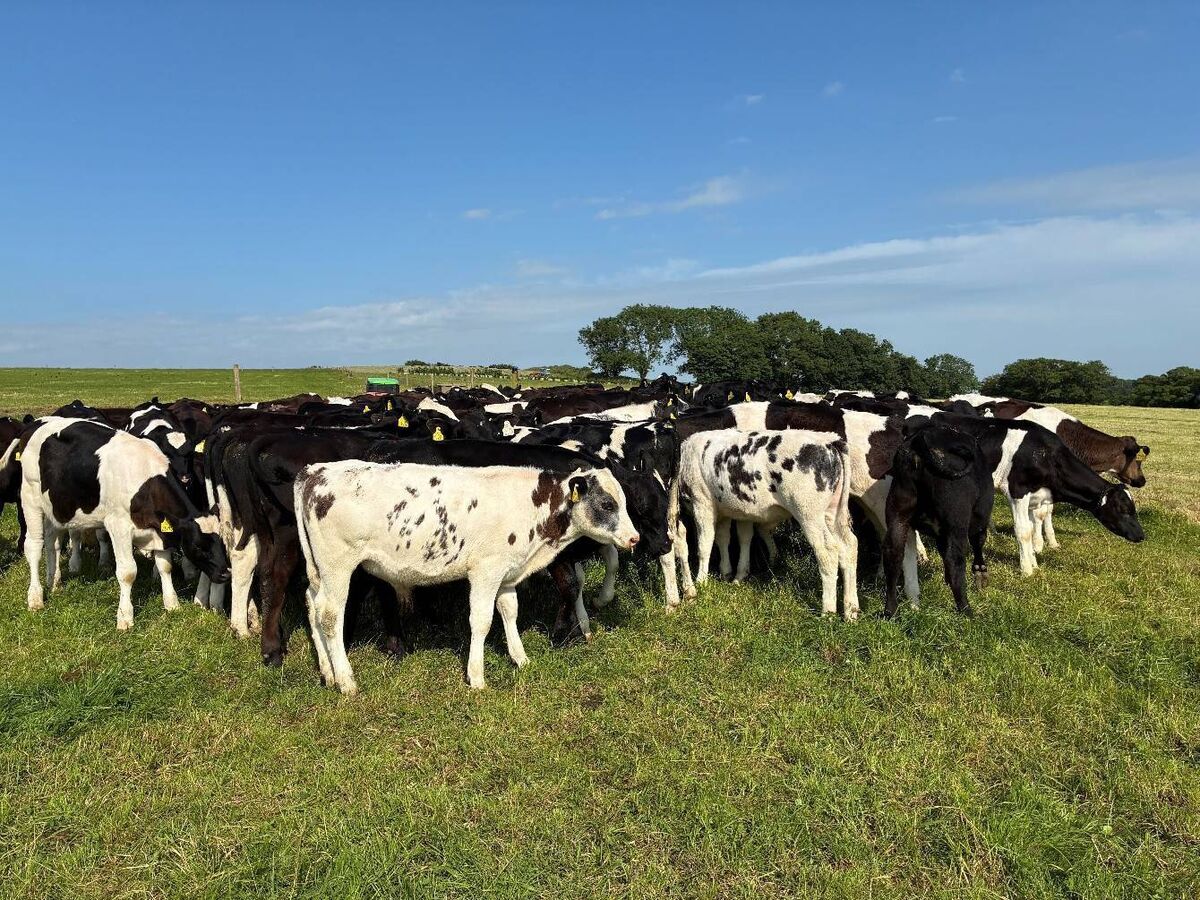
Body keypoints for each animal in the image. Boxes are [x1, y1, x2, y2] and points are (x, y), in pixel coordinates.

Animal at [17, 418, 230, 629]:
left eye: (223, 544)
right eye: (198, 546)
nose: (226, 573)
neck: (145, 481)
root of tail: (38, 422)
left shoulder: (158, 531)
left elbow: (165, 566)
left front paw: (172, 604)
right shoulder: (118, 526)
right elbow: (128, 572)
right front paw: (125, 618)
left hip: (55, 506)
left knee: (51, 543)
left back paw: (54, 582)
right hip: (30, 497)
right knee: (34, 546)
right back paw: (35, 598)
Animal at [295, 460, 640, 692]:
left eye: (623, 501)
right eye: (607, 503)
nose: (634, 538)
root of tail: (315, 471)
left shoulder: (507, 574)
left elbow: (510, 612)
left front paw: (521, 658)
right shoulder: (485, 572)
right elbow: (482, 621)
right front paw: (476, 676)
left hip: (320, 571)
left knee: (312, 604)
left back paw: (327, 672)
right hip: (338, 566)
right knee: (330, 615)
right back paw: (345, 680)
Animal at [883, 423, 994, 617]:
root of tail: (921, 438)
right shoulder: (978, 518)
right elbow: (978, 542)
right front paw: (980, 574)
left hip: (897, 517)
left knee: (894, 555)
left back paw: (890, 611)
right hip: (957, 523)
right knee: (956, 561)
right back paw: (966, 611)